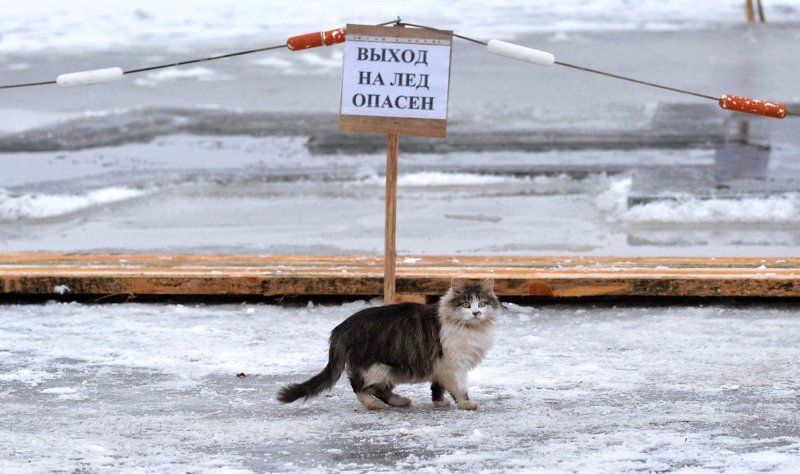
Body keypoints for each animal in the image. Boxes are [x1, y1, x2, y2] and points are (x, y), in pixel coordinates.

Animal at [276, 280, 500, 410]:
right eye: (466, 304)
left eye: (482, 304)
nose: (476, 312)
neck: (470, 328)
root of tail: (342, 327)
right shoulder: (454, 364)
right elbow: (460, 388)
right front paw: (465, 403)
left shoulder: (441, 366)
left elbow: (437, 386)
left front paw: (439, 401)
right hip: (375, 366)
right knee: (359, 386)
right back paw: (373, 404)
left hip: (386, 369)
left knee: (379, 389)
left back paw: (399, 401)